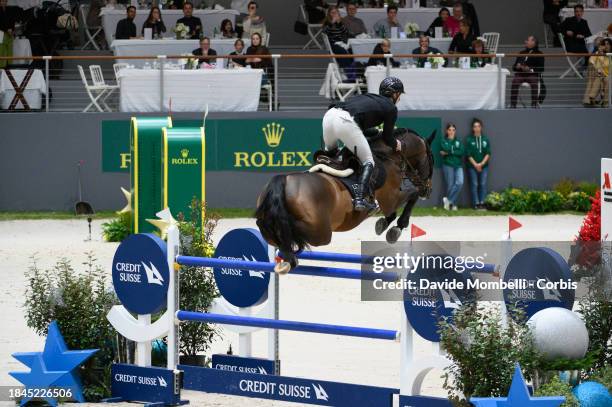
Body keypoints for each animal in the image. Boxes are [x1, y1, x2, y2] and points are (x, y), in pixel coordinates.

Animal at [253, 128, 436, 274]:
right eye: (431, 160)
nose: (428, 190)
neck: (389, 157)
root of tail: (284, 180)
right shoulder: (391, 198)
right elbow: (411, 196)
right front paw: (394, 228)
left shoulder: (389, 201)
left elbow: (398, 207)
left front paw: (383, 224)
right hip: (321, 233)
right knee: (290, 230)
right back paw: (291, 250)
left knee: (269, 228)